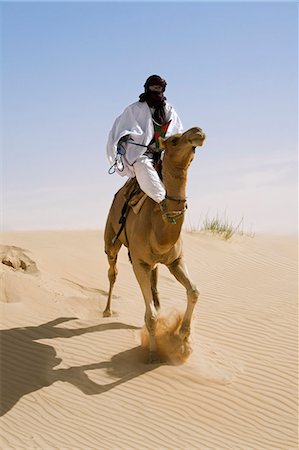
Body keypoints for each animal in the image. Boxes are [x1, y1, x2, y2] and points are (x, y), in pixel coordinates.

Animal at [103, 126, 206, 362]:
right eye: (175, 141)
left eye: (193, 147)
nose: (198, 132)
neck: (160, 229)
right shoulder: (139, 262)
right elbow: (149, 315)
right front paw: (152, 353)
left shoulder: (176, 260)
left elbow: (194, 291)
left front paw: (183, 338)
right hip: (111, 239)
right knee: (112, 271)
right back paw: (107, 310)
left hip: (155, 262)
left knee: (154, 281)